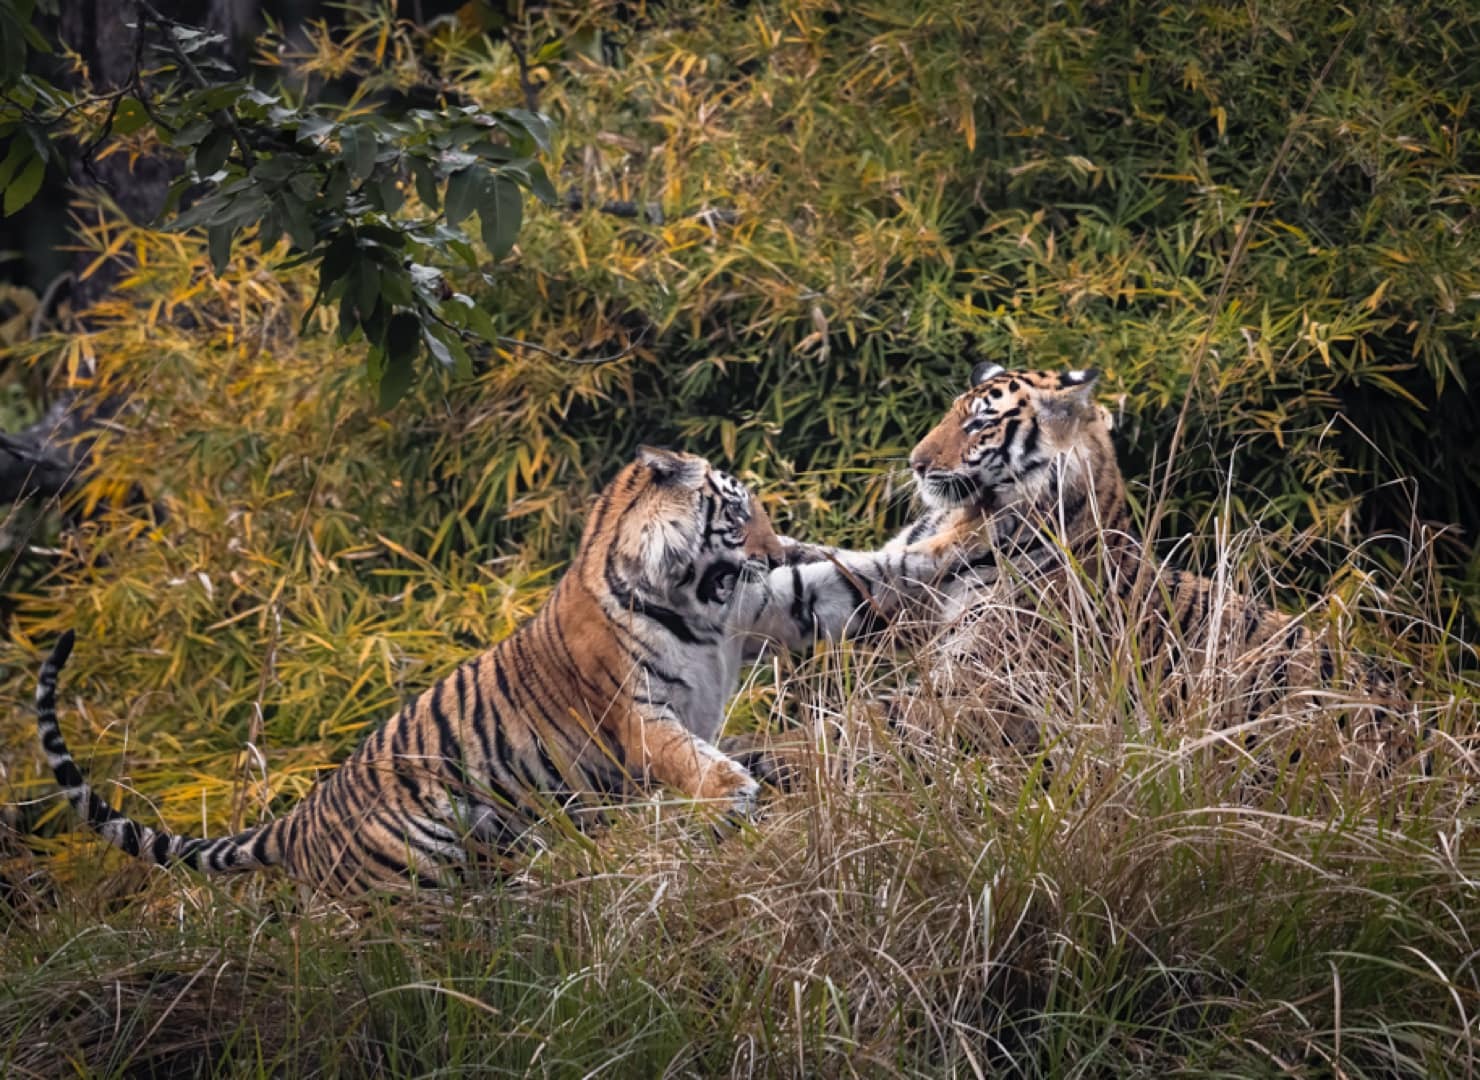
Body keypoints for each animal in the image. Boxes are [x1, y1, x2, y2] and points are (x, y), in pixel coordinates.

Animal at [35, 446, 953, 894]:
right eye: (735, 511)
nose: (772, 545)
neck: (697, 596)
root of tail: (299, 819)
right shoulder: (639, 716)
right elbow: (695, 762)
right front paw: (732, 798)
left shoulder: (761, 608)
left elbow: (838, 583)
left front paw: (945, 544)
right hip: (411, 874)